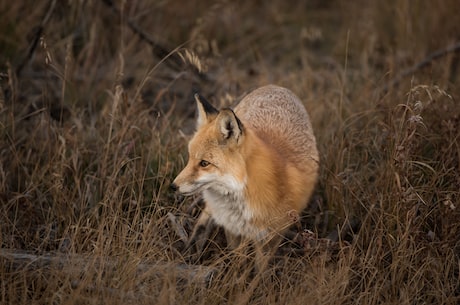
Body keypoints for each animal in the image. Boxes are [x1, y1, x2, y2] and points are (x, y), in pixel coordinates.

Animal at [171, 84, 318, 255]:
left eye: (204, 163)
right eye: (190, 158)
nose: (173, 186)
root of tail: (276, 86)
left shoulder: (272, 235)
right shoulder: (232, 227)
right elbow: (236, 255)